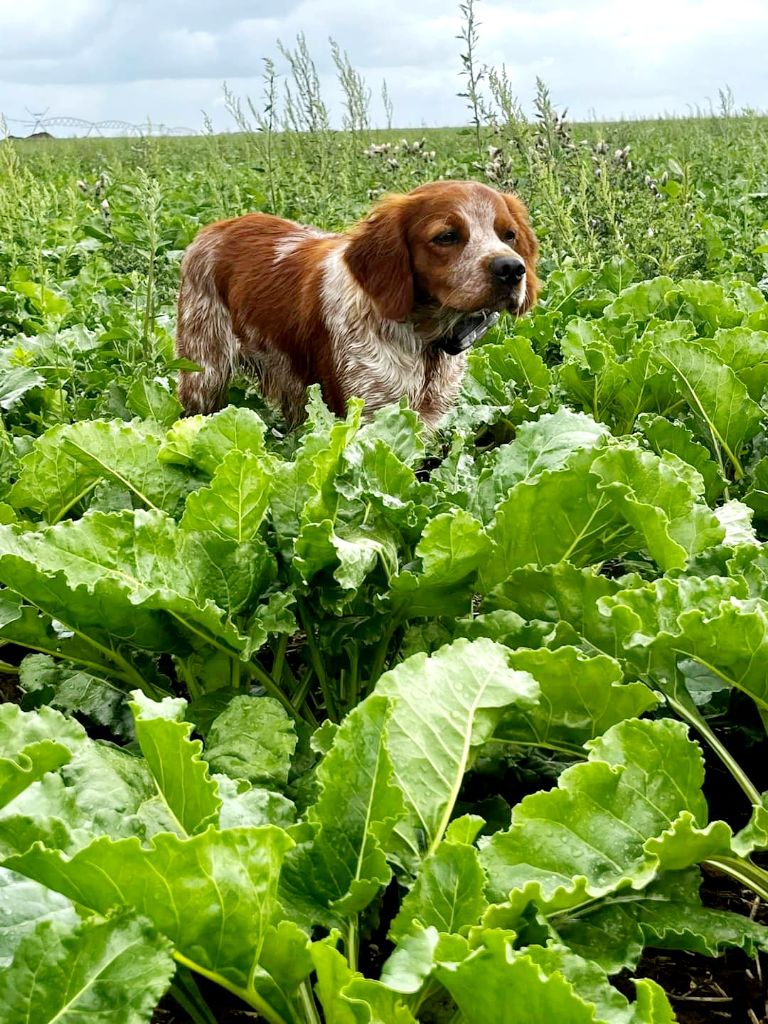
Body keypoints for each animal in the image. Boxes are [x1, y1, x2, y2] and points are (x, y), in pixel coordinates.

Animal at [177, 178, 540, 425]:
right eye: (447, 236)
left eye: (509, 235)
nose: (510, 269)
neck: (423, 339)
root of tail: (211, 229)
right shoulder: (365, 415)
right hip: (203, 375)